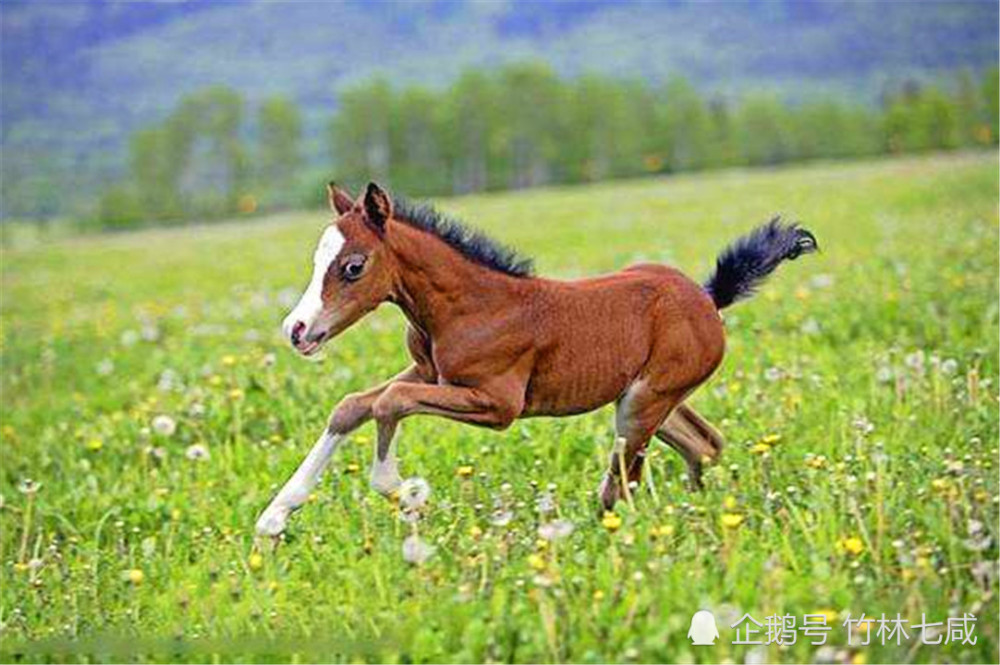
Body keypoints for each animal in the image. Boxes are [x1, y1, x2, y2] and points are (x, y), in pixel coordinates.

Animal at [255, 182, 817, 536]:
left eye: (353, 266)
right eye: (316, 261)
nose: (297, 331)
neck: (469, 306)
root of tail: (708, 296)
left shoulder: (498, 404)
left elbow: (389, 401)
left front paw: (401, 491)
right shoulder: (431, 372)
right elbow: (353, 405)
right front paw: (275, 516)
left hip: (643, 403)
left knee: (621, 485)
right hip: (651, 398)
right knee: (704, 444)